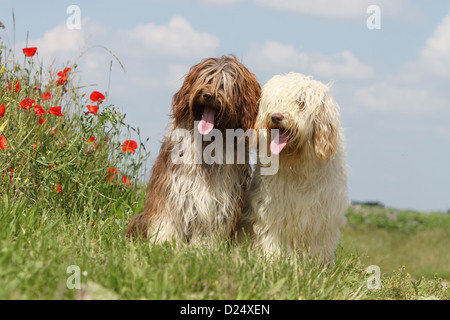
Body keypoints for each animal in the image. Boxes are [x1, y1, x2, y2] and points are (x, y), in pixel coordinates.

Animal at [126, 55, 260, 245]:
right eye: (207, 79)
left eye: (224, 84)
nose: (209, 95)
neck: (208, 143)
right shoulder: (172, 188)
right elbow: (166, 219)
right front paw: (164, 243)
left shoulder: (220, 200)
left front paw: (202, 247)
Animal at [239, 74, 348, 264]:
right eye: (275, 100)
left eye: (301, 102)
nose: (276, 116)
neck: (297, 165)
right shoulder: (273, 209)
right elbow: (273, 236)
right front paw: (274, 258)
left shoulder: (321, 216)